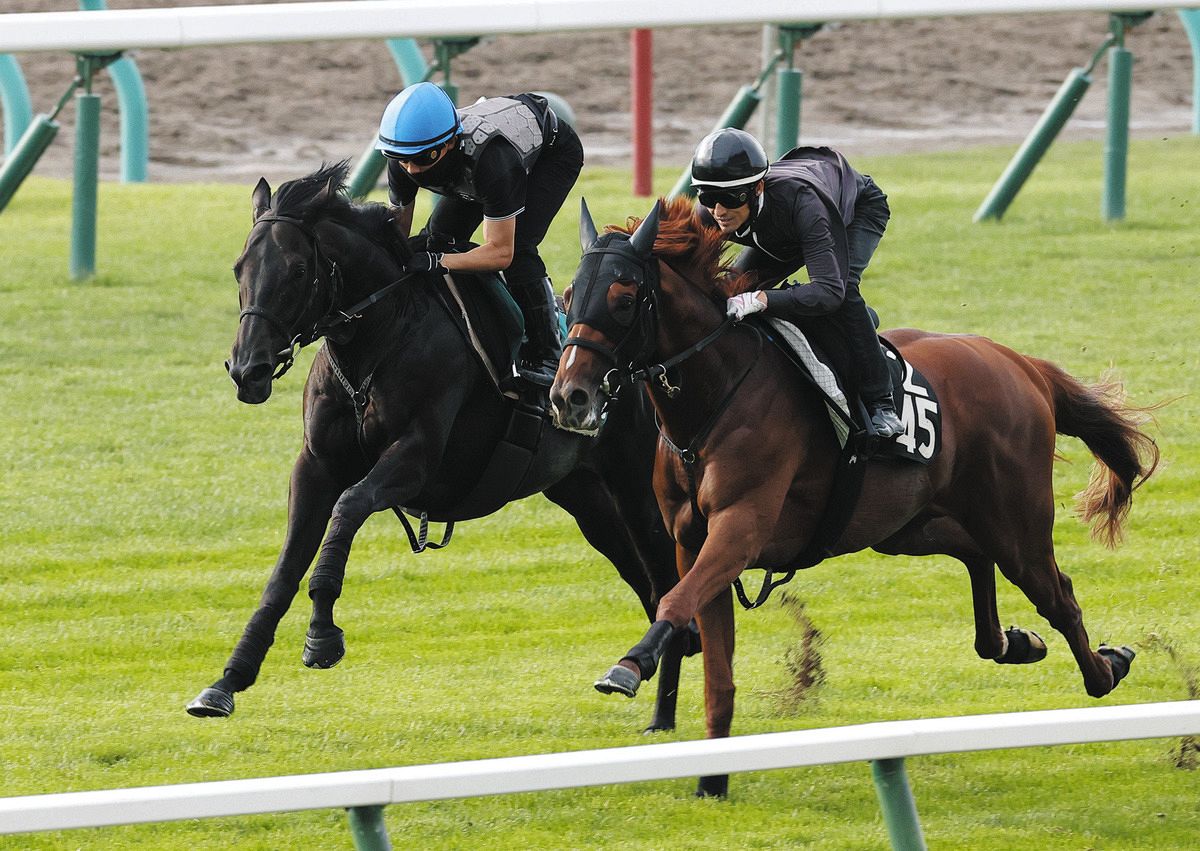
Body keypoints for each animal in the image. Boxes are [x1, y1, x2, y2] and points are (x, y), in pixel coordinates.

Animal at [187, 160, 696, 724]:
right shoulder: (315, 465)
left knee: (664, 572)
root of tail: (644, 362)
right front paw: (228, 679)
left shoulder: (417, 458)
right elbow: (285, 569)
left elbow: (349, 506)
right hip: (587, 499)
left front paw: (321, 635)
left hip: (636, 488)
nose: (247, 370)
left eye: (299, 270)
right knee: (643, 578)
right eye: (239, 268)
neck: (379, 338)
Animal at [549, 199, 1156, 796]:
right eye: (568, 296)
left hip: (1016, 525)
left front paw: (629, 666)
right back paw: (1016, 643)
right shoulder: (689, 540)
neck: (715, 396)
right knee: (976, 559)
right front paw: (712, 781)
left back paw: (1107, 669)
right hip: (908, 525)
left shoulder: (740, 529)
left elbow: (675, 602)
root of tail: (1021, 364)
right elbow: (715, 670)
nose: (568, 397)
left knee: (1059, 596)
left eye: (623, 298)